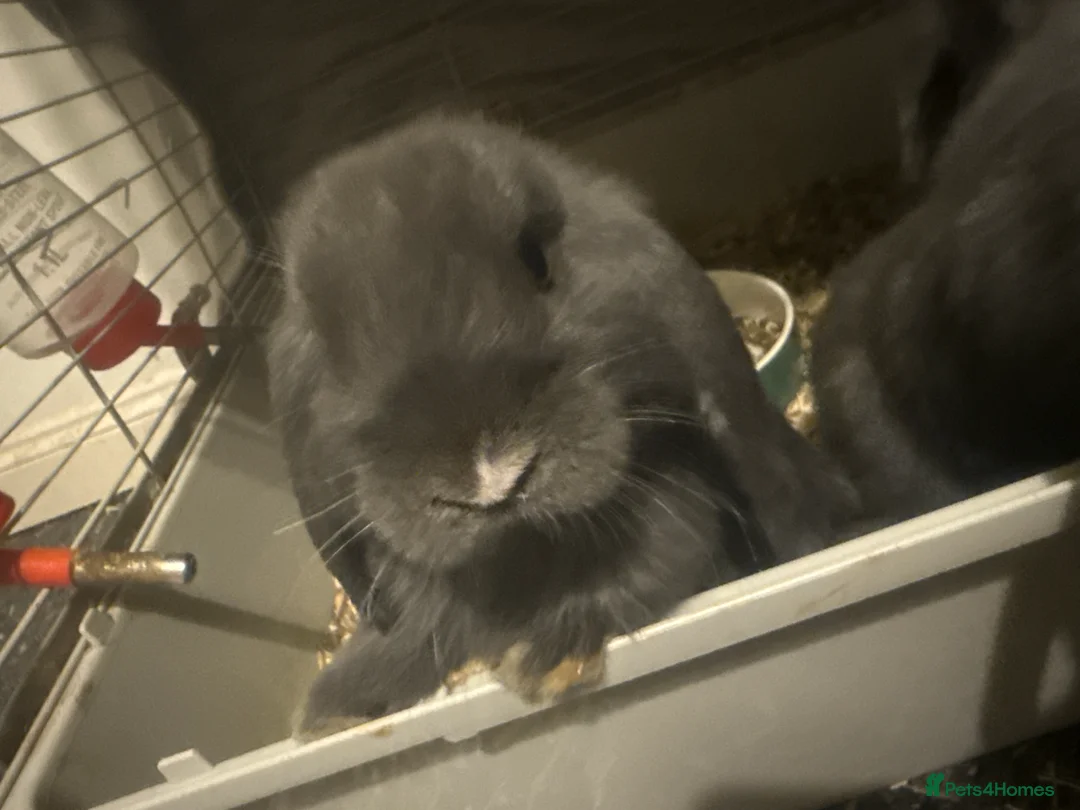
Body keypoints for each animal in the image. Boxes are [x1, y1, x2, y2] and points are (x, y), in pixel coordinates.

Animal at [265, 111, 859, 735]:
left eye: (538, 261)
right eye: (329, 342)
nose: (490, 479)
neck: (523, 554)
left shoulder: (672, 509)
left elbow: (649, 563)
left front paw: (542, 663)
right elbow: (418, 635)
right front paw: (331, 710)